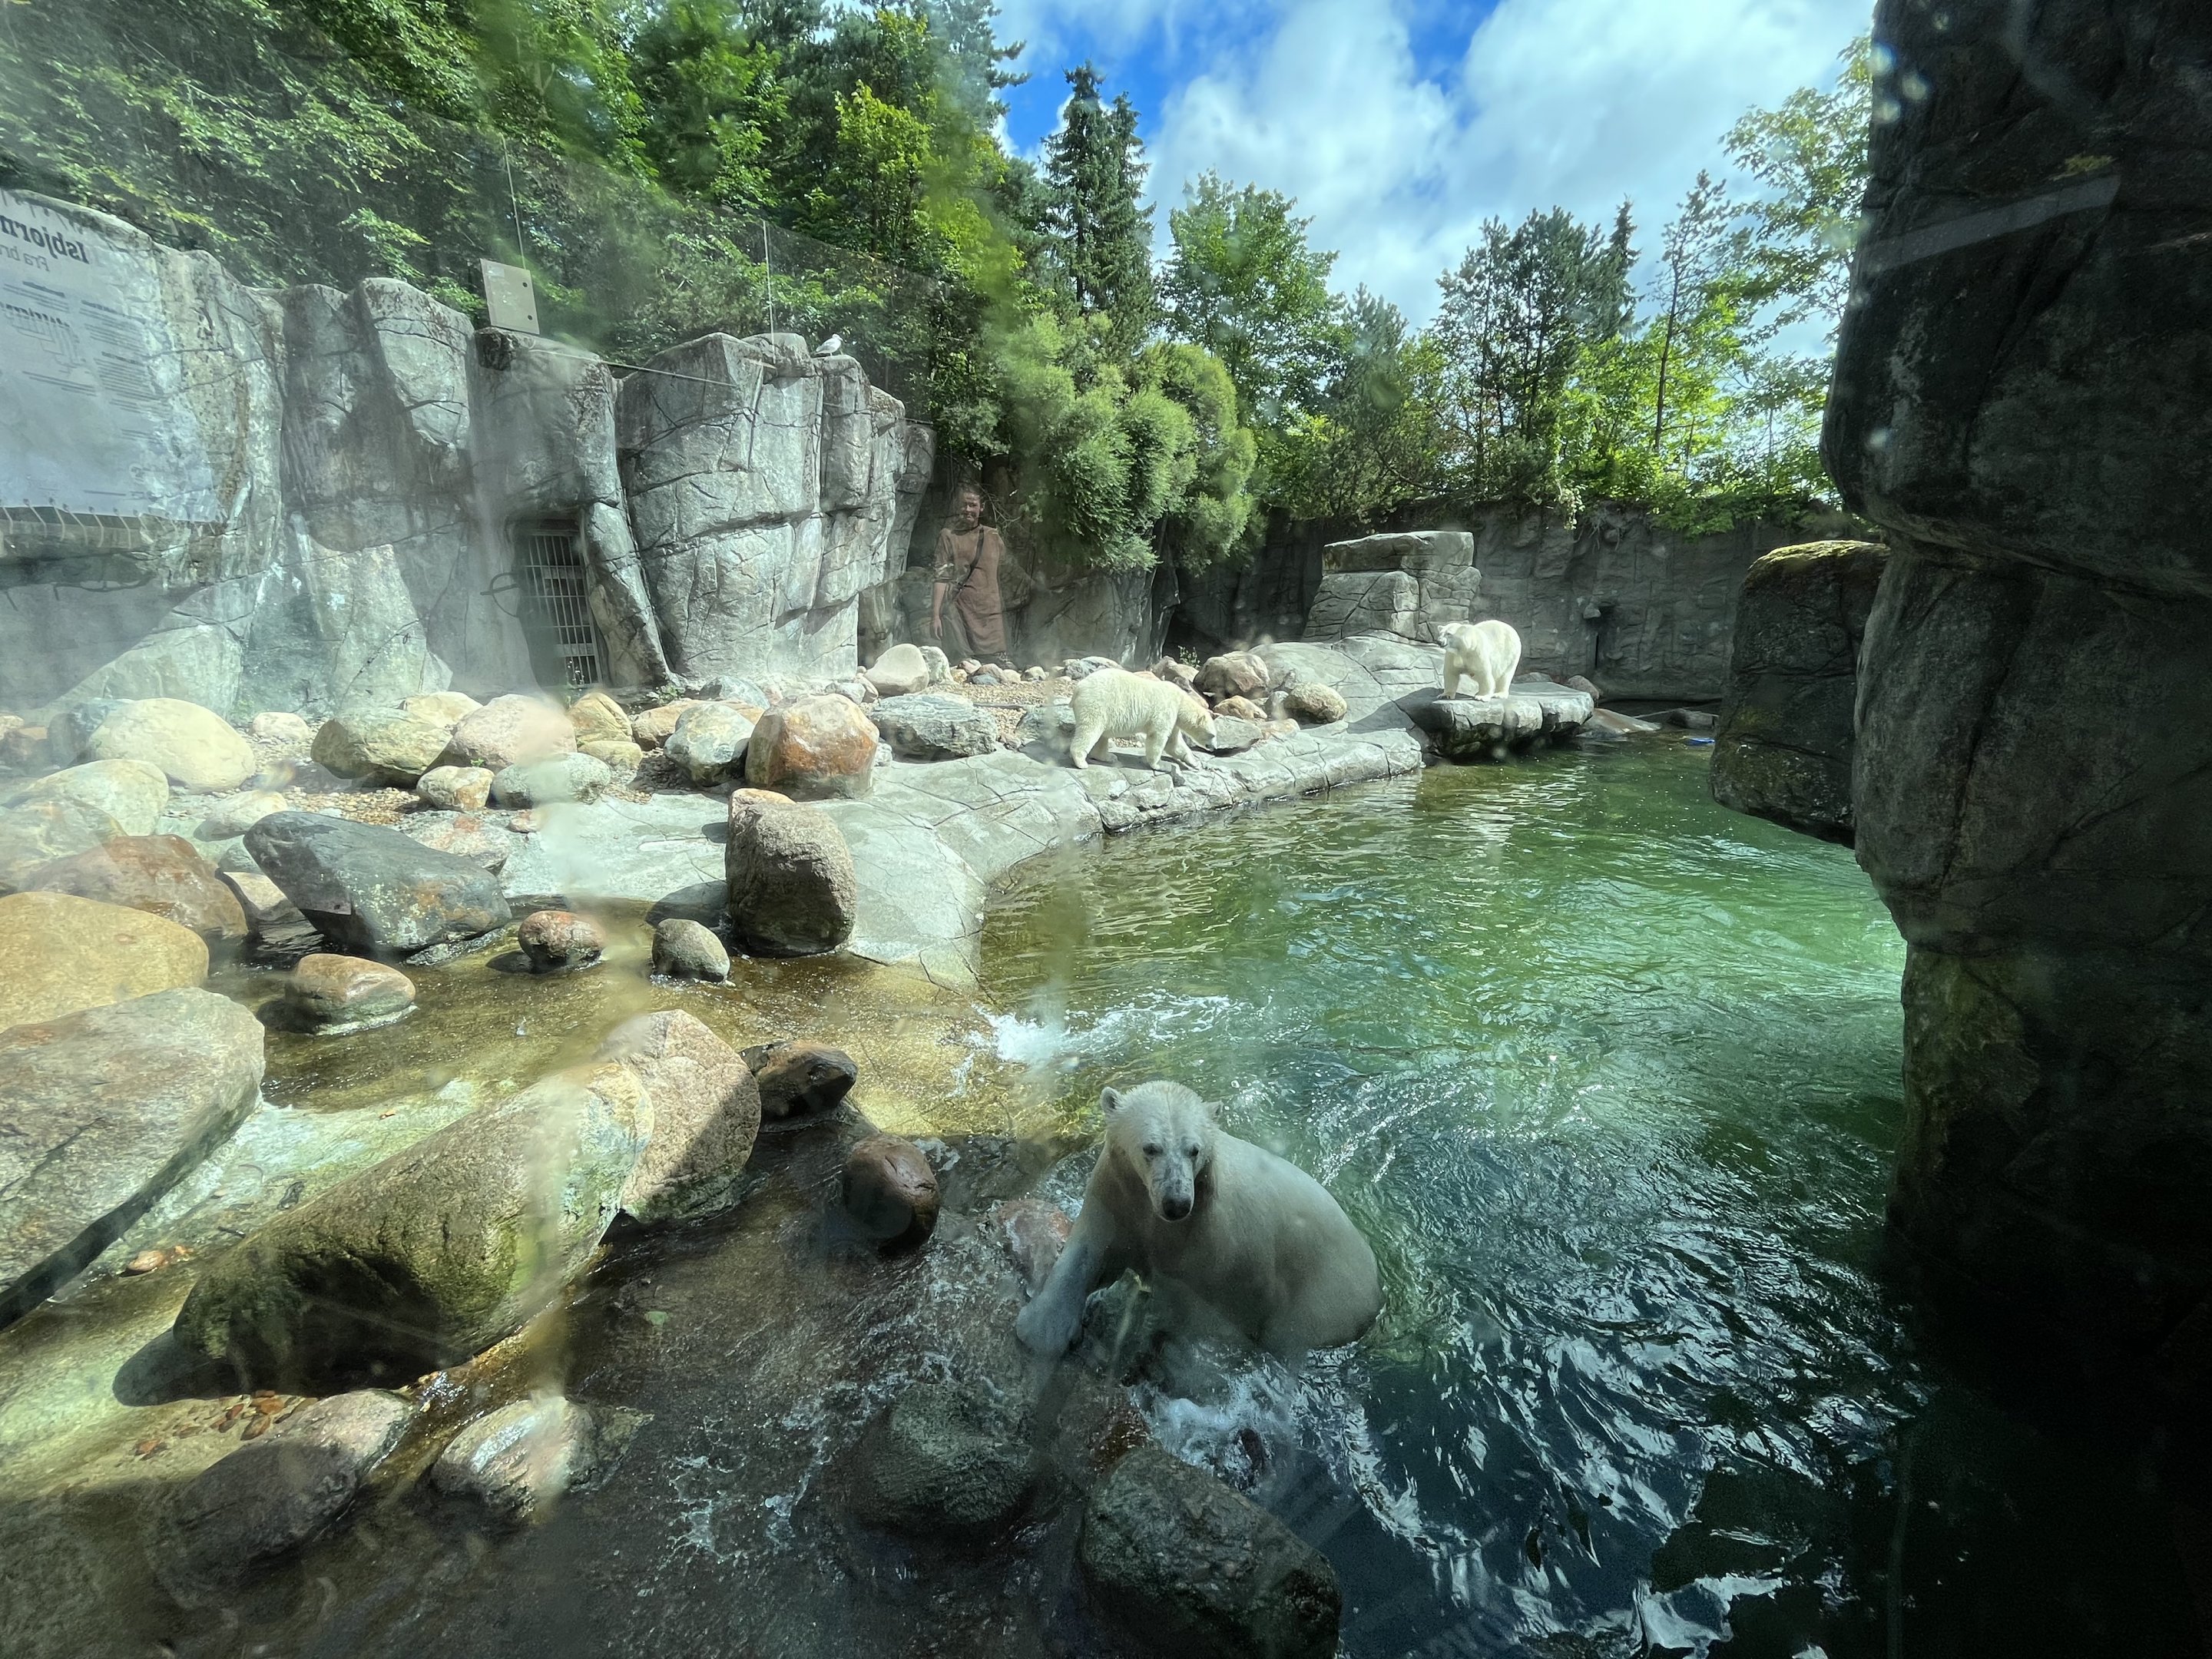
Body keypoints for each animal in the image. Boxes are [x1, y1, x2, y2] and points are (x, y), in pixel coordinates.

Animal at [1014, 1081, 1382, 1361]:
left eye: (1194, 1150)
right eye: (1151, 1148)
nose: (1176, 1203)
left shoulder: (1211, 1241)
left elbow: (1198, 1310)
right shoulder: (1117, 1195)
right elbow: (1090, 1253)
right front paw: (1041, 1329)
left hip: (1326, 1293)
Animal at [1067, 670, 1217, 772]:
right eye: (1213, 735)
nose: (1214, 748)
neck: (1181, 701)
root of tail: (1079, 688)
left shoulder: (1174, 720)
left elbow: (1174, 743)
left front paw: (1195, 763)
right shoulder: (1166, 710)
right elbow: (1158, 737)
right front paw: (1159, 765)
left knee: (1102, 735)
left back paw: (1108, 757)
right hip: (1098, 704)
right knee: (1090, 729)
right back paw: (1081, 762)